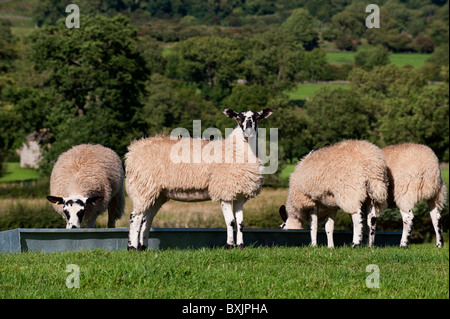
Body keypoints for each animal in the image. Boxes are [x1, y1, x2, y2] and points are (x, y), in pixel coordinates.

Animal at [125, 109, 272, 251]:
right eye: (238, 118)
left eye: (258, 117)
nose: (249, 131)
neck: (235, 149)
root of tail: (133, 149)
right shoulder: (224, 191)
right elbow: (230, 221)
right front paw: (230, 246)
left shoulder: (239, 194)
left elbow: (240, 222)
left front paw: (241, 246)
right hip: (142, 186)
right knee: (135, 217)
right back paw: (132, 247)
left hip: (156, 193)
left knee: (146, 219)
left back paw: (143, 247)